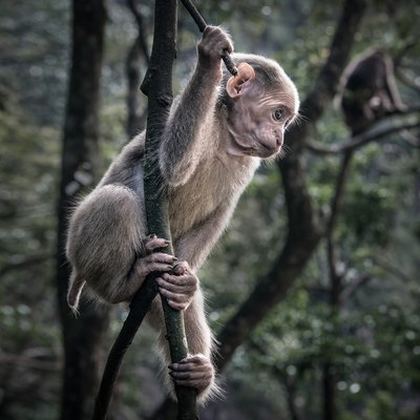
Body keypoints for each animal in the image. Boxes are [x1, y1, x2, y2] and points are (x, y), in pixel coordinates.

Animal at [65, 25, 300, 400]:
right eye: (278, 115)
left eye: (286, 121)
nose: (279, 139)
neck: (226, 136)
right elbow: (170, 165)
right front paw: (208, 63)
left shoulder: (248, 163)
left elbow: (218, 214)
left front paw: (185, 282)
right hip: (78, 242)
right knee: (116, 200)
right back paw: (123, 284)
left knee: (164, 302)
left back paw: (197, 372)